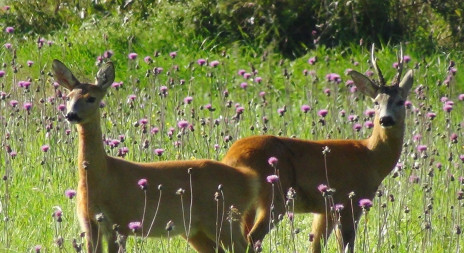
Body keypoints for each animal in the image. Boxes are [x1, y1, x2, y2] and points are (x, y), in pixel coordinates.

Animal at [53, 59, 260, 253]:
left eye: (91, 98)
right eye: (68, 97)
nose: (71, 115)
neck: (101, 178)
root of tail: (248, 178)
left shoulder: (120, 221)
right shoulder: (88, 224)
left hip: (223, 217)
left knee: (247, 246)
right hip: (198, 229)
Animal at [221, 44, 414, 252]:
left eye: (401, 101)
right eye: (376, 102)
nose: (385, 119)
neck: (371, 156)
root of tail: (231, 157)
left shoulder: (325, 210)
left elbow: (316, 245)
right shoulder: (349, 202)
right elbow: (346, 245)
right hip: (275, 195)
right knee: (251, 238)